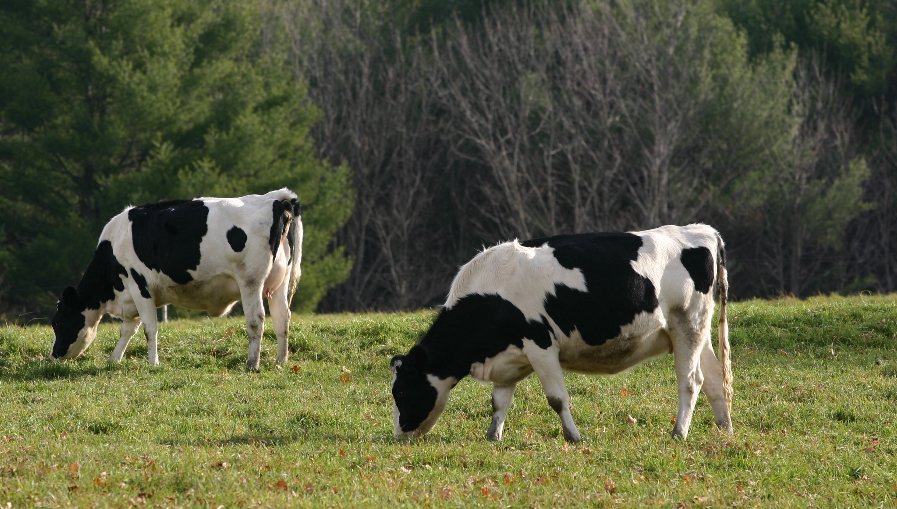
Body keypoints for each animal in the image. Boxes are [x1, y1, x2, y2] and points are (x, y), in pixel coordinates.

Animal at [50, 189, 302, 371]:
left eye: (58, 323)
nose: (53, 356)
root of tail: (275, 198)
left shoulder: (138, 285)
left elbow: (149, 328)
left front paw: (153, 363)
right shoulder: (132, 295)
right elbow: (128, 330)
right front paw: (114, 359)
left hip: (250, 281)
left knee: (256, 320)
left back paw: (252, 364)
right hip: (279, 283)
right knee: (282, 319)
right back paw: (280, 362)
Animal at [390, 224, 732, 442]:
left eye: (401, 392)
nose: (399, 435)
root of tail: (701, 229)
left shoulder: (540, 345)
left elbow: (556, 398)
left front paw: (574, 437)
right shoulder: (508, 357)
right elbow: (499, 401)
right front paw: (493, 436)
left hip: (687, 324)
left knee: (691, 381)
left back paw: (679, 433)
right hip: (698, 331)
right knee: (714, 377)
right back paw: (725, 428)